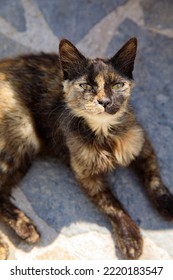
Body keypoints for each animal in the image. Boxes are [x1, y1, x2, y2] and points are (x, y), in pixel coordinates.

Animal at [0, 37, 173, 260]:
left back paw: (24, 228)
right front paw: (130, 237)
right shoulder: (86, 174)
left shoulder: (142, 145)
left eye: (117, 85)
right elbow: (112, 204)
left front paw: (167, 205)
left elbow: (154, 179)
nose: (105, 101)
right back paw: (17, 233)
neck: (105, 133)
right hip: (22, 135)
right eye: (86, 86)